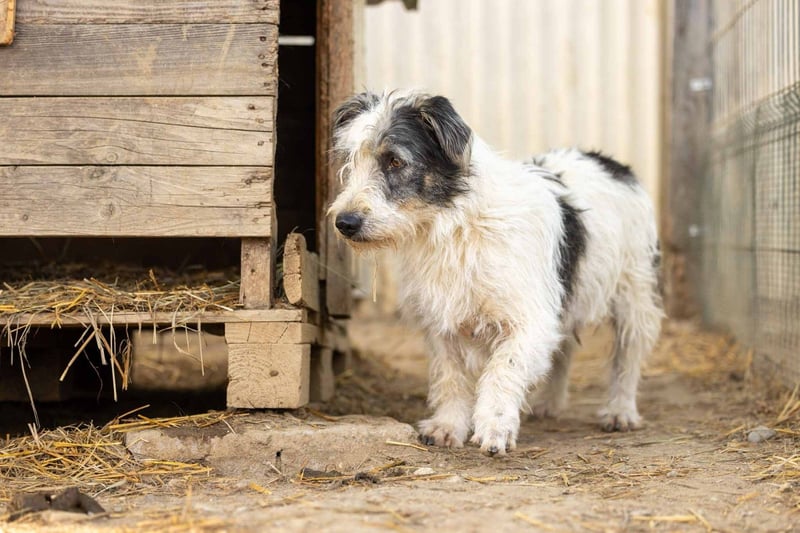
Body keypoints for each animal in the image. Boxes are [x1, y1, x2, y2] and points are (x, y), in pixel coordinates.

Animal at [328, 90, 663, 456]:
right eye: (351, 161)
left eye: (394, 161)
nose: (344, 223)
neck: (456, 225)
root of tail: (611, 163)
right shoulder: (443, 325)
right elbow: (451, 378)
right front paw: (448, 426)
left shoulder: (530, 321)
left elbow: (503, 369)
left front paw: (494, 426)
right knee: (563, 351)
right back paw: (549, 404)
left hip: (635, 296)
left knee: (627, 357)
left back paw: (620, 411)